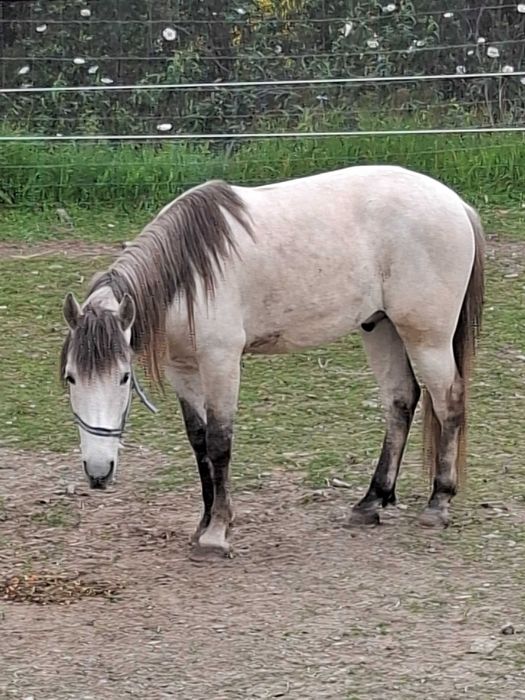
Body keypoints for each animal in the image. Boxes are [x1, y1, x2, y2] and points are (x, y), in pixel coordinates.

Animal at [60, 165, 484, 557]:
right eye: (71, 378)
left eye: (123, 378)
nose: (98, 473)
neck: (190, 275)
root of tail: (456, 204)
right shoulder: (182, 369)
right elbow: (198, 441)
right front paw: (203, 524)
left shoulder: (221, 361)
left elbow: (219, 442)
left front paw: (217, 533)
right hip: (379, 328)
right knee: (401, 401)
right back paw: (371, 502)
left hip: (426, 338)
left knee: (448, 402)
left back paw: (438, 503)